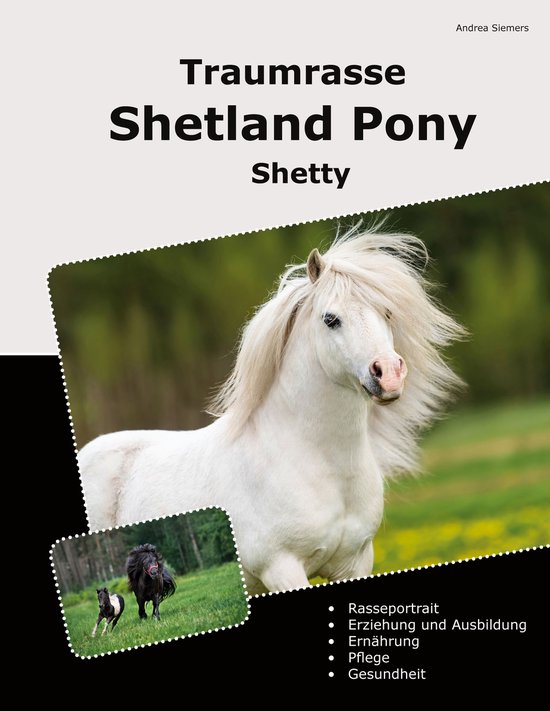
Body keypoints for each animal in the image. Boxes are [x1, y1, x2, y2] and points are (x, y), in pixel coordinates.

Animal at [79, 226, 465, 594]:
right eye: (330, 319)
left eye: (386, 312)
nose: (388, 375)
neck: (315, 463)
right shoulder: (281, 569)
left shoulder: (355, 561)